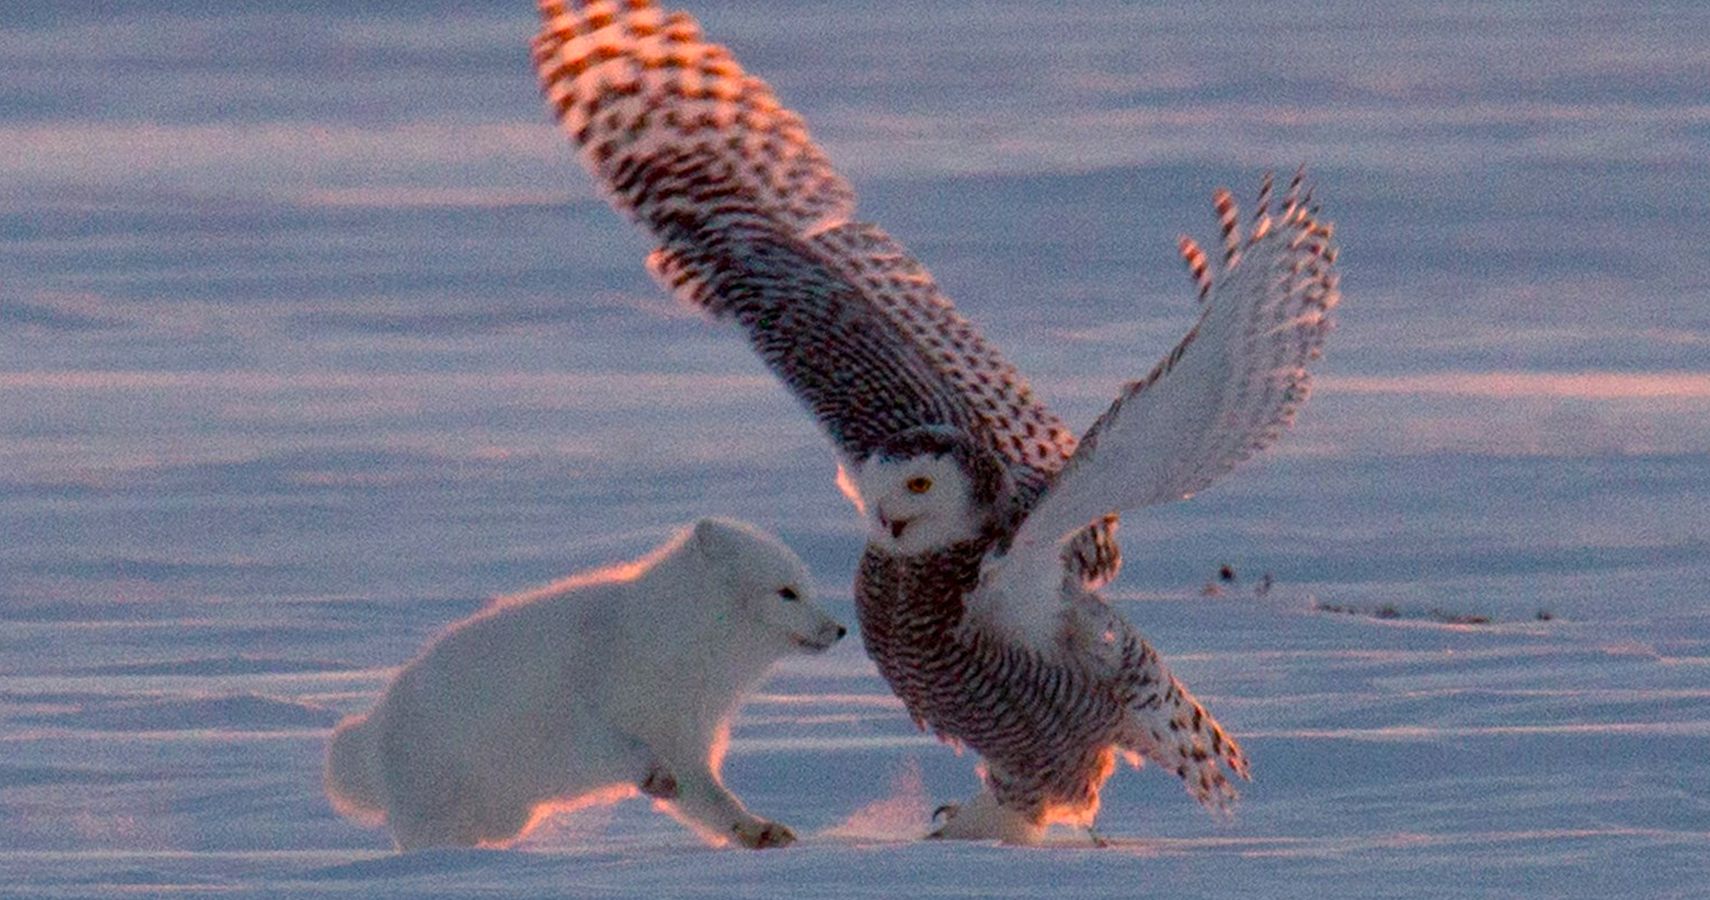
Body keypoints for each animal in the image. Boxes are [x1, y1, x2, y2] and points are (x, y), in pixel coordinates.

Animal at [323, 523, 844, 855]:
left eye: (807, 587)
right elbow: (621, 750)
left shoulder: (689, 744)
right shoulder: (579, 725)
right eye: (786, 593)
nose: (839, 630)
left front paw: (757, 832)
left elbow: (714, 802)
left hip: (508, 814)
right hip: (441, 805)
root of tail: (370, 727)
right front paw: (654, 776)